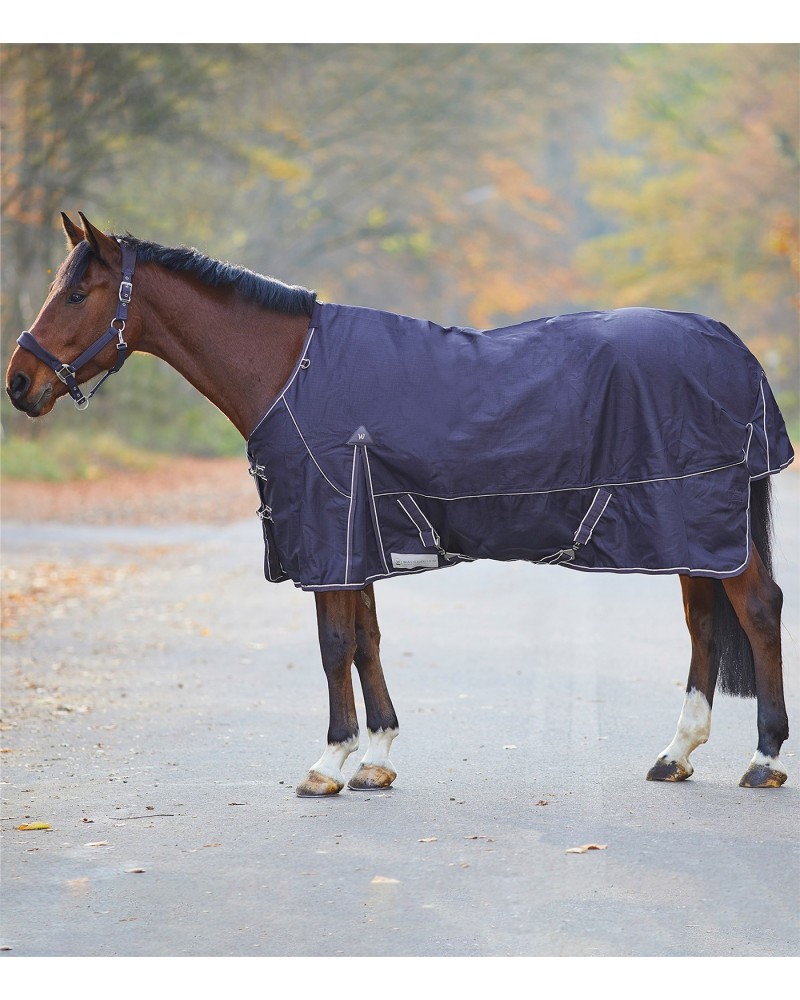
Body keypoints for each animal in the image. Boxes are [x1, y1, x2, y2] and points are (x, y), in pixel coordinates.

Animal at [6, 212, 794, 796]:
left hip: (702, 522)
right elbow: (367, 640)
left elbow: (333, 645)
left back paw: (764, 759)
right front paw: (376, 759)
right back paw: (676, 754)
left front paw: (329, 764)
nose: (18, 383)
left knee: (756, 611)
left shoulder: (332, 536)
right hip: (691, 531)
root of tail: (736, 351)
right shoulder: (358, 539)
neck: (293, 371)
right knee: (703, 624)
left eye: (76, 294)